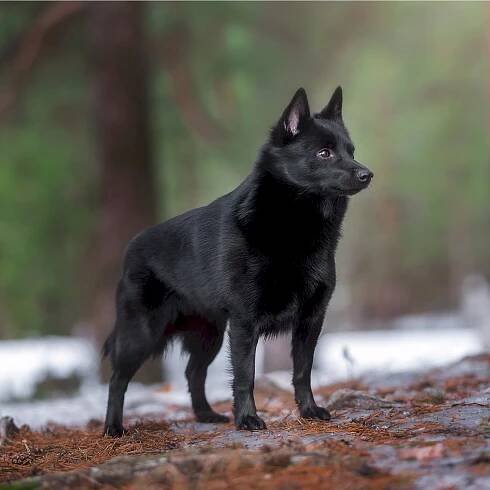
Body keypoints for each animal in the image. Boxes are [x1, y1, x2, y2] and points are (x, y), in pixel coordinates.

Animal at [102, 86, 372, 434]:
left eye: (350, 151)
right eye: (324, 153)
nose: (367, 174)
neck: (292, 227)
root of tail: (131, 248)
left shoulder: (310, 320)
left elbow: (303, 371)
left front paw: (309, 410)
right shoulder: (245, 322)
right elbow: (246, 375)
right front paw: (247, 418)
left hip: (210, 336)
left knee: (193, 373)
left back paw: (206, 415)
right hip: (141, 334)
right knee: (117, 380)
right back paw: (113, 428)